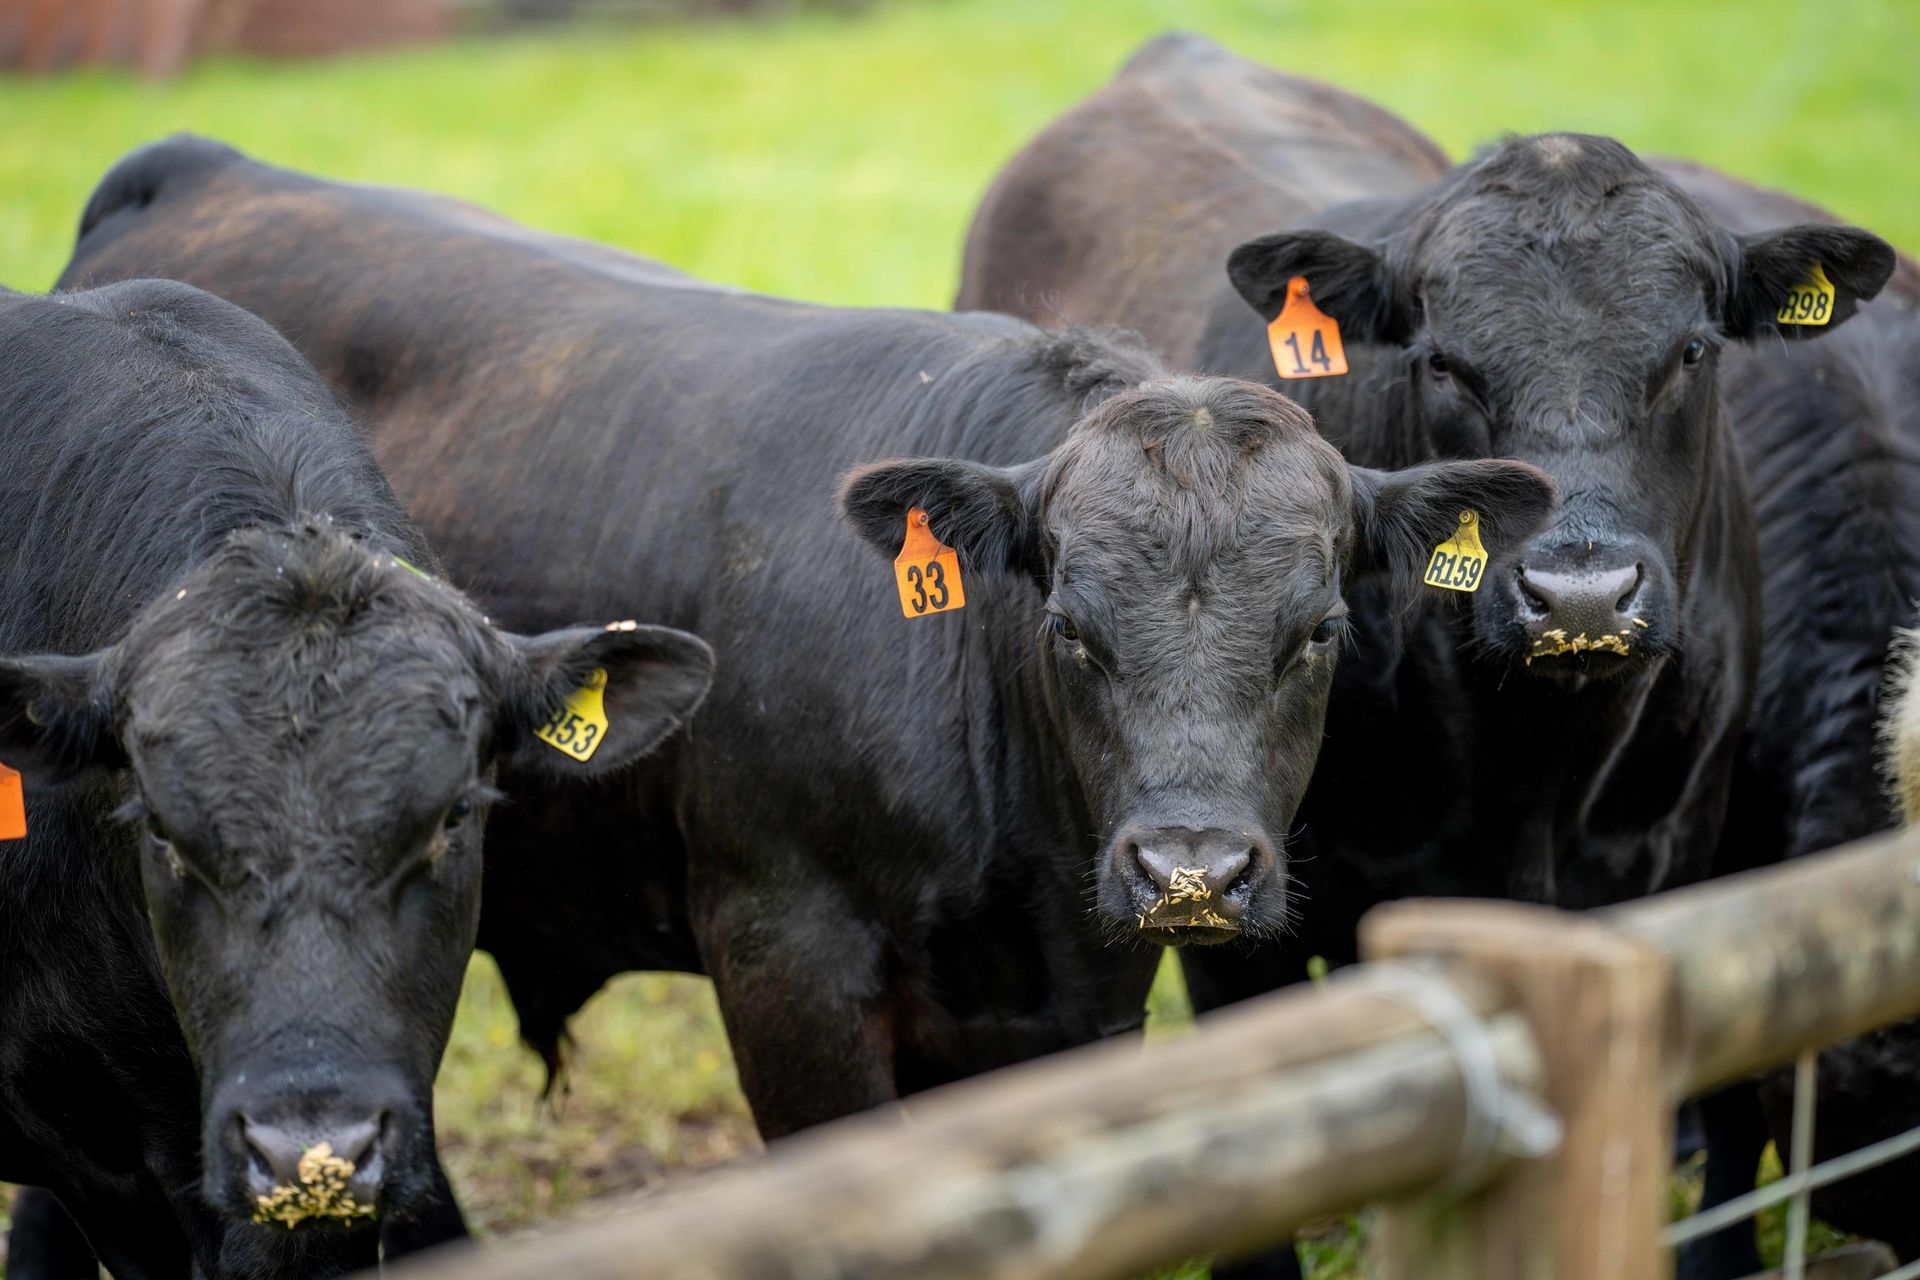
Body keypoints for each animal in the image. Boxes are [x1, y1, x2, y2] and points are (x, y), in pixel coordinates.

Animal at [955, 33, 1893, 1276]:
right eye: (1445, 362)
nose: (1579, 592)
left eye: (1692, 350)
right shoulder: (1234, 913)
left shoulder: (1687, 853)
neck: (1541, 769)